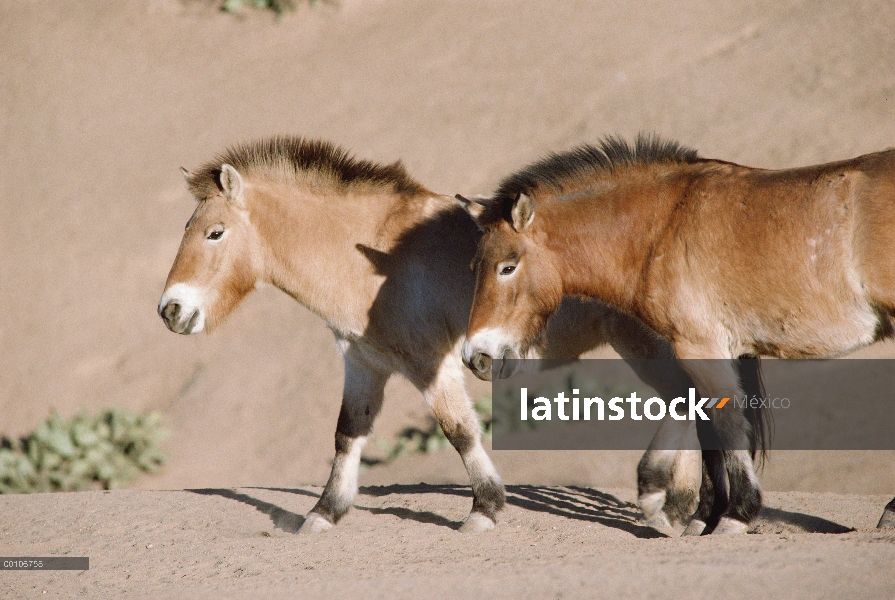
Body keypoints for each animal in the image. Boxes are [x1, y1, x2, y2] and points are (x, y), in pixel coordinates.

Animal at [158, 137, 760, 536]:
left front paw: (484, 509)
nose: (170, 310)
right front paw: (324, 513)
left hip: (655, 344)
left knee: (691, 403)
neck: (370, 256)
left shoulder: (430, 365)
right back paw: (699, 511)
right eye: (188, 229)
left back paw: (670, 502)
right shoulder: (365, 364)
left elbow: (460, 431)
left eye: (214, 233)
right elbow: (348, 434)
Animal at [458, 136, 895, 536]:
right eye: (474, 266)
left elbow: (724, 421)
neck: (662, 226)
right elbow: (704, 424)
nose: (476, 356)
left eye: (508, 267)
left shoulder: (699, 347)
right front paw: (699, 514)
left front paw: (732, 514)